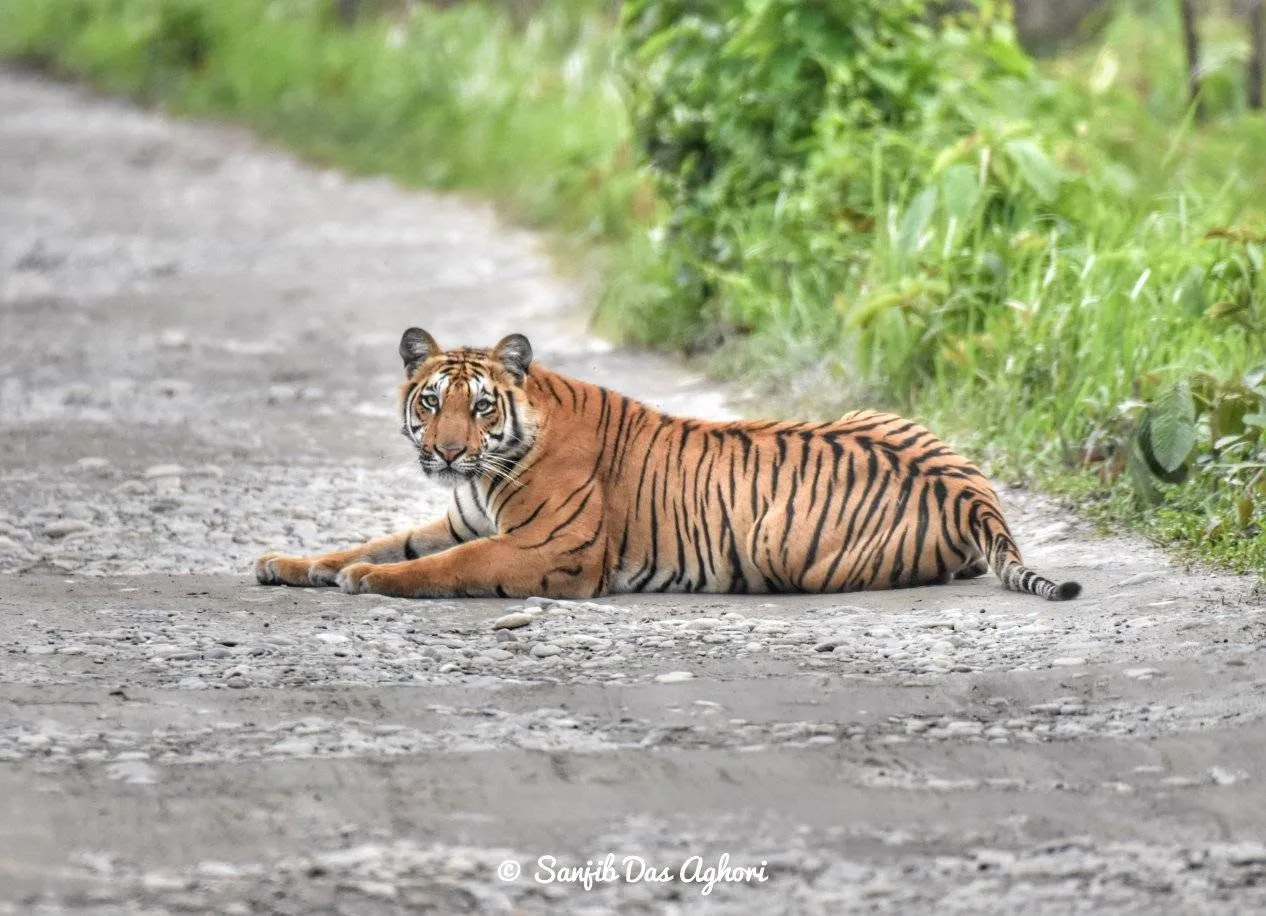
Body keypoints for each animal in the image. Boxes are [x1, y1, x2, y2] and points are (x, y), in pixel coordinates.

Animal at [255, 329, 1081, 602]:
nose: (448, 450)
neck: (488, 472)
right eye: (430, 402)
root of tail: (974, 493)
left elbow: (442, 566)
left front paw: (369, 581)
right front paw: (288, 563)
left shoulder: (548, 552)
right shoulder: (459, 517)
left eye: (481, 407)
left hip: (785, 547)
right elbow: (373, 542)